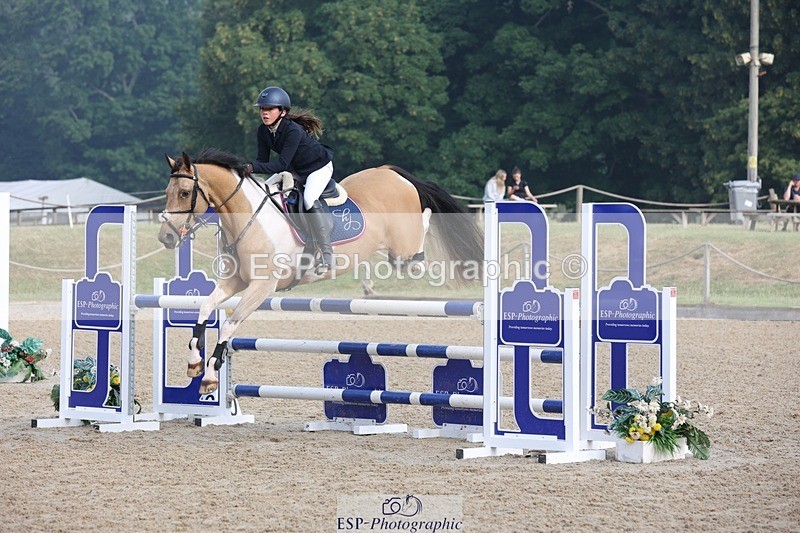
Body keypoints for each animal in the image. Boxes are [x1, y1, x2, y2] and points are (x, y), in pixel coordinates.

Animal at [158, 148, 484, 393]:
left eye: (185, 193)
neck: (249, 218)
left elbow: (228, 327)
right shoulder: (234, 281)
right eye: (167, 192)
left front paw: (211, 376)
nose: (166, 238)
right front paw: (194, 363)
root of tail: (391, 172)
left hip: (404, 249)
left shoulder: (261, 287)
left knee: (422, 229)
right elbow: (204, 309)